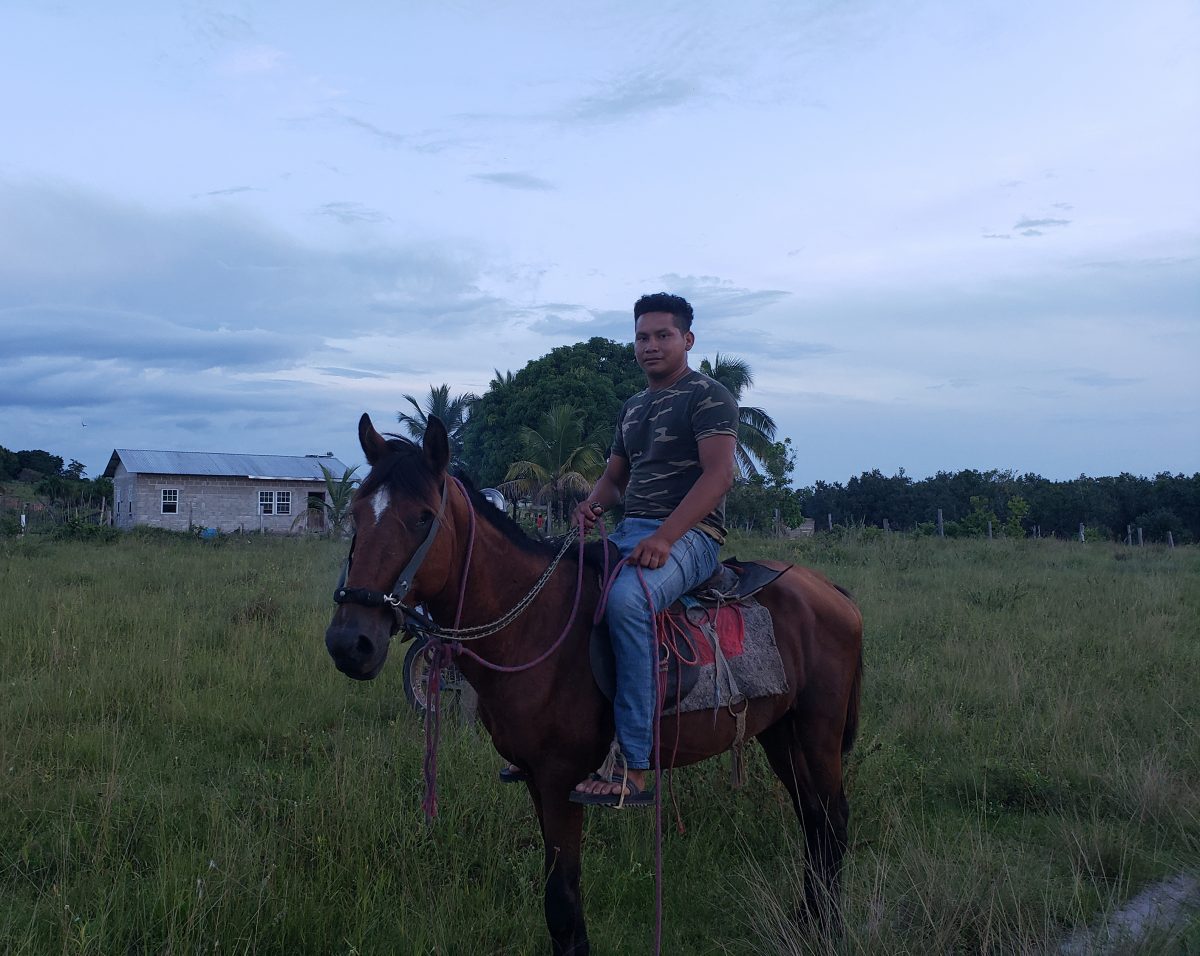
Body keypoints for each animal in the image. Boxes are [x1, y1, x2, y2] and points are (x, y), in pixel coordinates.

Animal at [319, 415, 864, 950]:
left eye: (423, 517)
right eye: (356, 513)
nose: (350, 642)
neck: (533, 624)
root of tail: (831, 592)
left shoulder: (560, 779)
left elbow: (561, 903)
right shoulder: (534, 779)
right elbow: (562, 899)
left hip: (817, 732)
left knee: (833, 821)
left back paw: (830, 929)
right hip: (780, 732)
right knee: (813, 820)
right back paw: (804, 920)